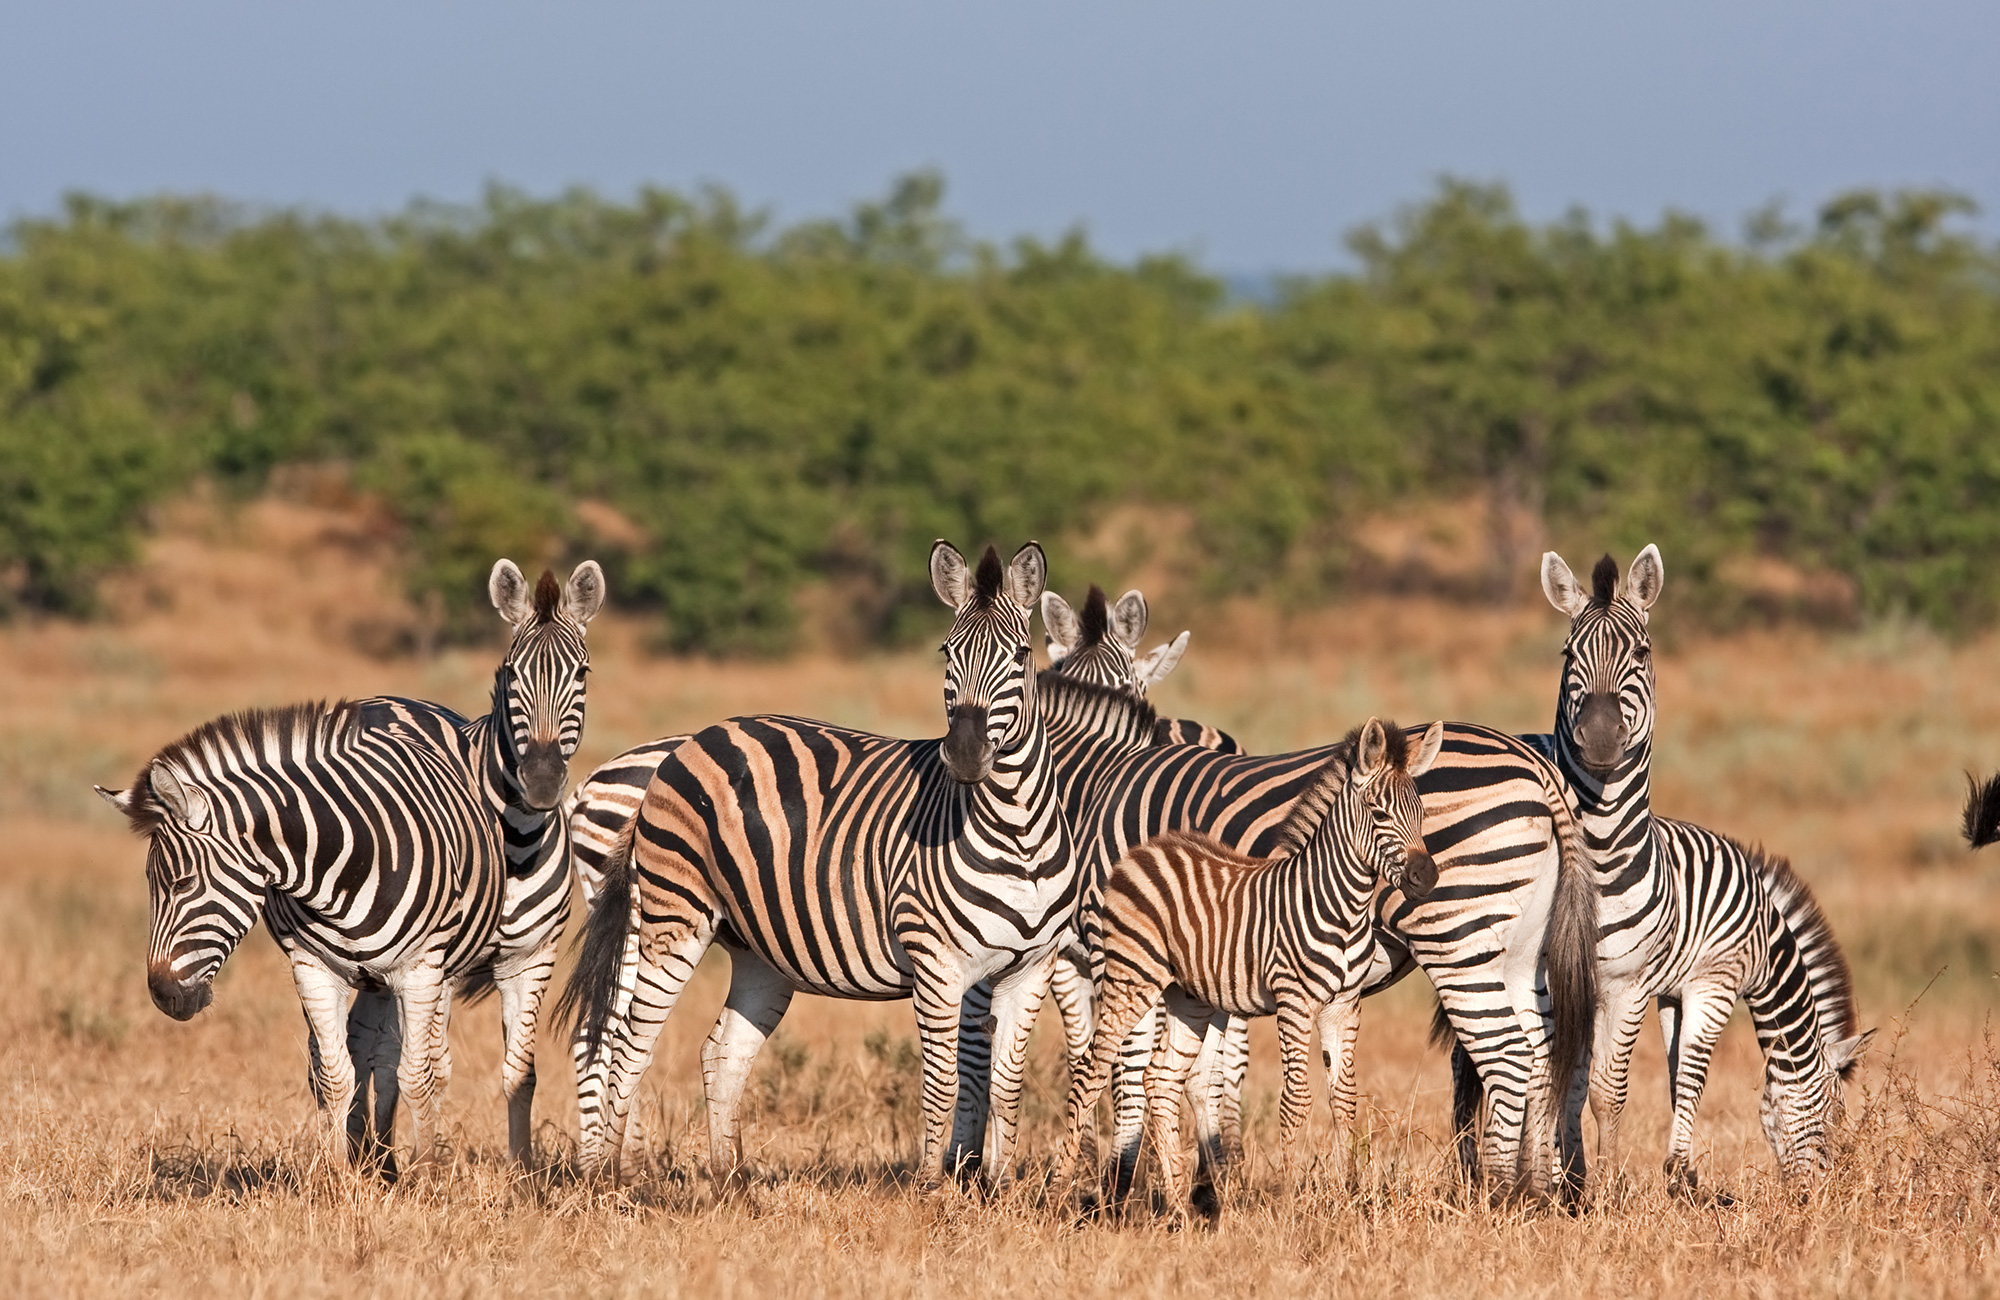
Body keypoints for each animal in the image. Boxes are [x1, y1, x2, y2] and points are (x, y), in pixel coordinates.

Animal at [98, 700, 512, 1168]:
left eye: (184, 883)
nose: (162, 995)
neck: (348, 860)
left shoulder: (421, 971)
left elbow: (416, 1077)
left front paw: (423, 1175)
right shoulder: (312, 969)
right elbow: (336, 1075)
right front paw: (335, 1174)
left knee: (429, 1063)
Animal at [564, 540, 1080, 1184]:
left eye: (1020, 654)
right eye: (947, 652)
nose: (963, 755)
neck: (1019, 834)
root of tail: (694, 739)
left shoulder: (1032, 968)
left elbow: (1009, 1085)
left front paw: (1004, 1190)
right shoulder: (937, 963)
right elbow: (942, 1081)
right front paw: (933, 1190)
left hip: (757, 948)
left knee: (722, 1051)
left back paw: (728, 1184)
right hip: (671, 916)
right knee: (629, 1042)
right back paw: (615, 1180)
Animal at [1064, 712, 1440, 1208]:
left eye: (1422, 814)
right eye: (1380, 814)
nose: (1427, 877)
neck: (1343, 907)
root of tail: (1146, 849)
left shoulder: (1345, 1004)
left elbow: (1344, 1097)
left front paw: (1346, 1194)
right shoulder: (1294, 1001)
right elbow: (1296, 1098)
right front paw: (1292, 1198)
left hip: (1187, 996)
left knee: (1160, 1080)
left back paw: (1179, 1208)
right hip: (1132, 974)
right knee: (1091, 1067)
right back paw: (1059, 1186)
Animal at [1448, 540, 1864, 1192]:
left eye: (1642, 652)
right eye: (1568, 654)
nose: (1598, 737)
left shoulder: (1656, 985)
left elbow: (1658, 1077)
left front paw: (1638, 1175)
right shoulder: (1708, 981)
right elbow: (1619, 1084)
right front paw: (1614, 1182)